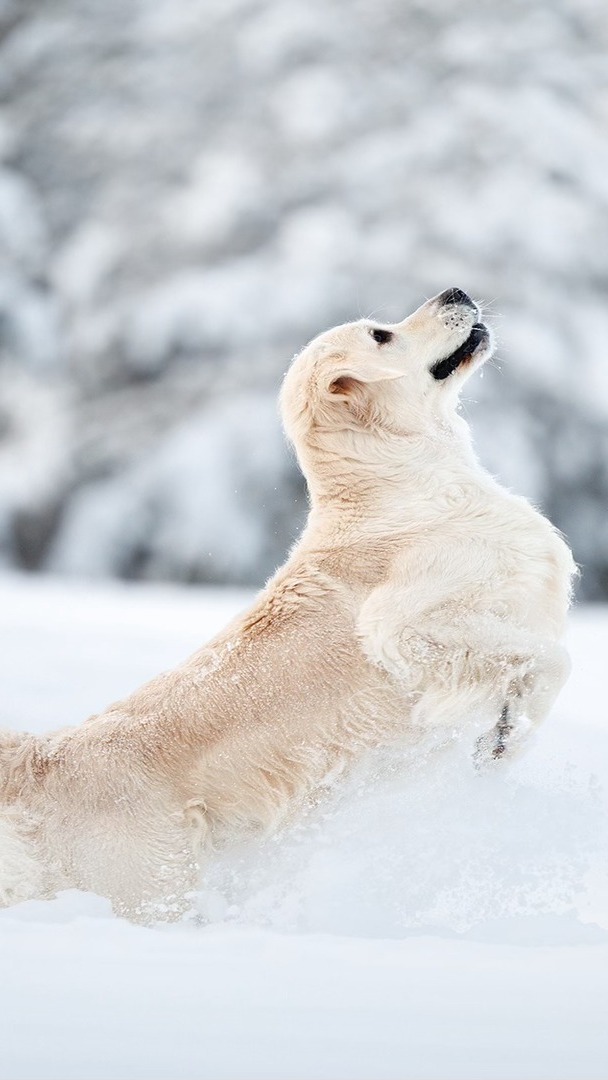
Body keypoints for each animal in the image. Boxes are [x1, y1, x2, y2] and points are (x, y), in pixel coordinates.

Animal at [0, 287, 574, 920]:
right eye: (381, 335)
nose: (456, 291)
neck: (402, 484)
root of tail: (45, 759)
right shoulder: (400, 629)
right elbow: (548, 660)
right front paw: (509, 736)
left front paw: (500, 739)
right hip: (157, 891)